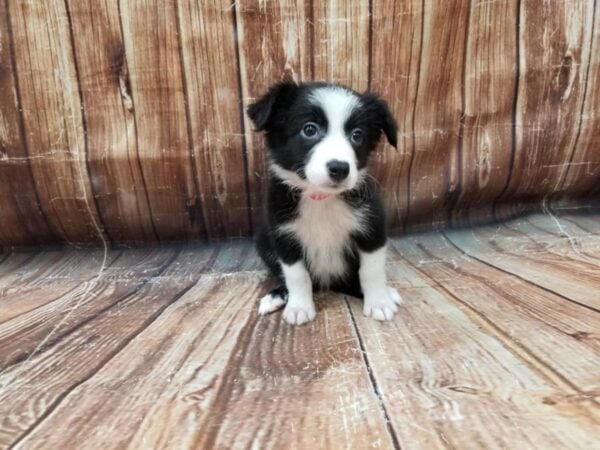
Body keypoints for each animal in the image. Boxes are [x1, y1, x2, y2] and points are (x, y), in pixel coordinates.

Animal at [248, 81, 404, 326]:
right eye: (309, 130)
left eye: (357, 135)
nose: (339, 168)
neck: (321, 198)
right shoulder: (284, 236)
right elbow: (297, 275)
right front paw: (299, 307)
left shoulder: (372, 229)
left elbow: (372, 271)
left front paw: (379, 302)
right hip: (264, 242)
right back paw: (277, 296)